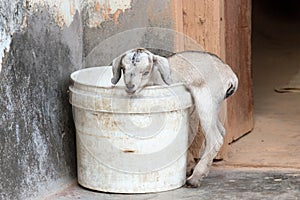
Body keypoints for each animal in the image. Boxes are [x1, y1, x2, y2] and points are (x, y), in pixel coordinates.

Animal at [110, 47, 239, 187]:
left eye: (146, 72)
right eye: (123, 69)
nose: (130, 87)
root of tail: (229, 74)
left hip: (206, 100)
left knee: (215, 138)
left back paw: (195, 178)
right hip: (214, 106)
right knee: (221, 131)